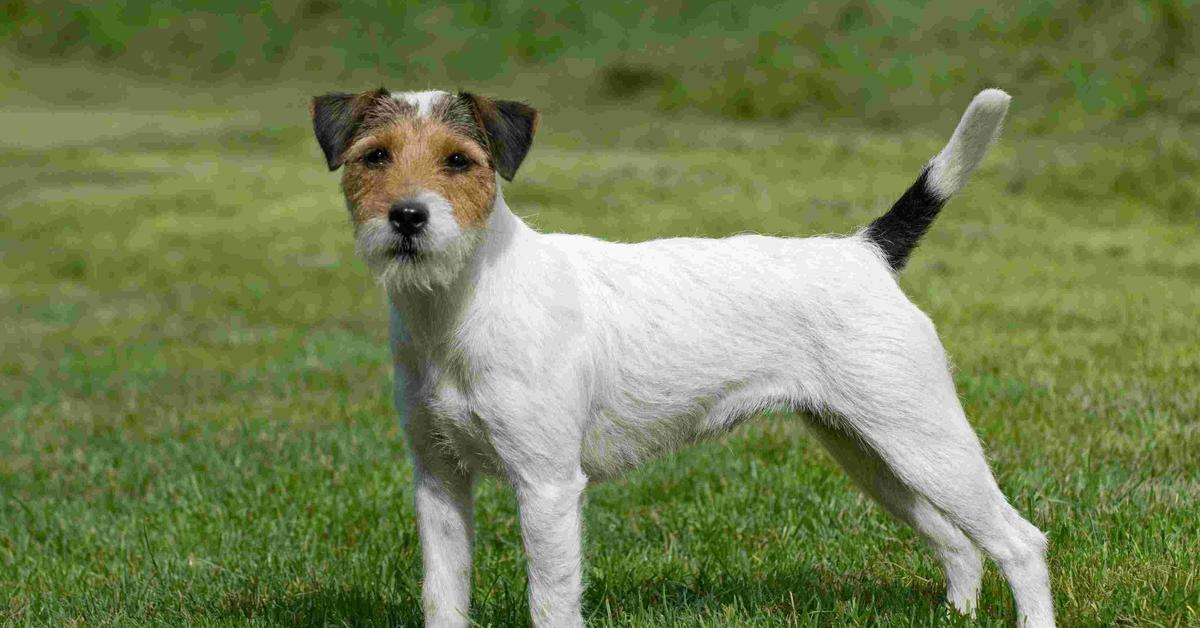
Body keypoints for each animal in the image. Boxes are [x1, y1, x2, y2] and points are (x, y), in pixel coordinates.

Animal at [312, 88, 1060, 628]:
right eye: (373, 156)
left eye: (459, 160)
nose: (408, 218)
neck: (465, 303)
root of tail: (867, 250)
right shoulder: (440, 482)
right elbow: (444, 596)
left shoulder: (546, 487)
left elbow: (551, 601)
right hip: (872, 455)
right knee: (959, 543)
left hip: (926, 443)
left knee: (1021, 543)